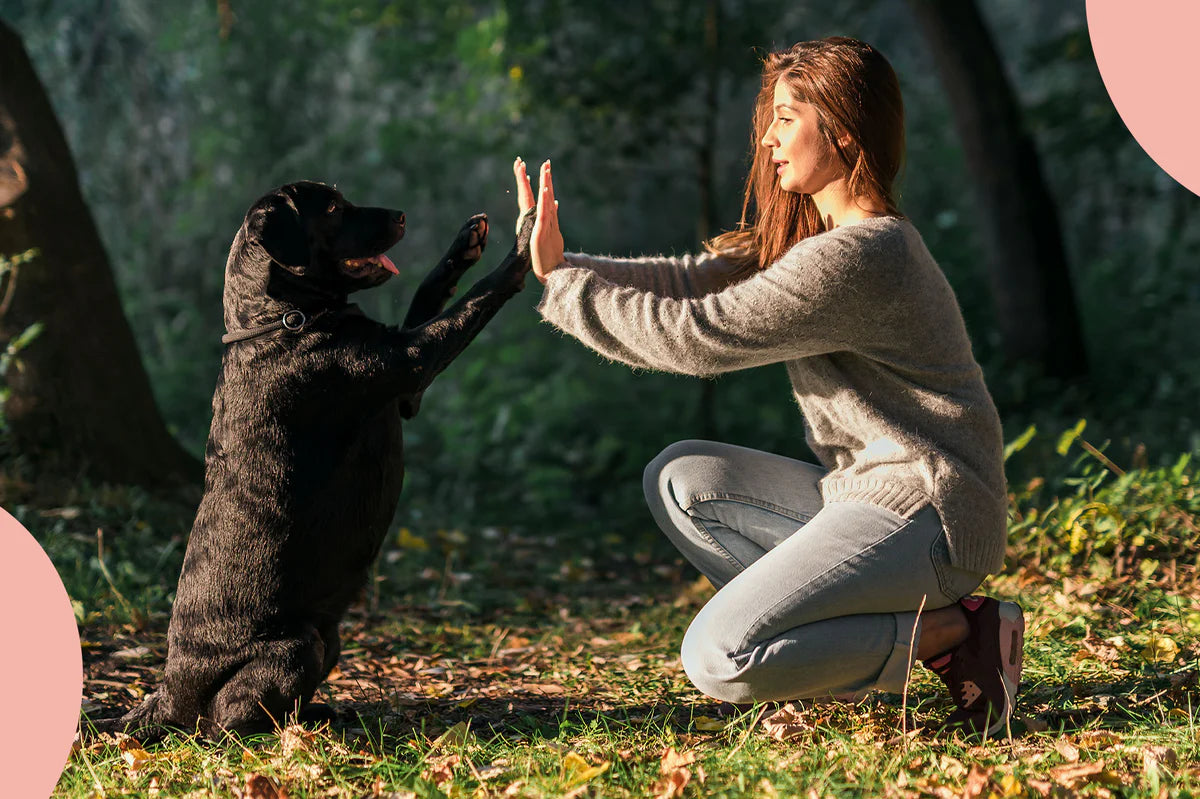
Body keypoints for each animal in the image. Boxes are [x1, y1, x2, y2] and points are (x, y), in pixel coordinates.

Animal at [84, 182, 535, 739]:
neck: (281, 320)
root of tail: (167, 695)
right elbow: (473, 302)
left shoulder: (406, 394)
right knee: (224, 723)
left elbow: (429, 294)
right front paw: (525, 243)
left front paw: (465, 244)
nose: (401, 215)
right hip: (298, 647)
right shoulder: (412, 361)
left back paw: (322, 714)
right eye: (335, 208)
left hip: (328, 639)